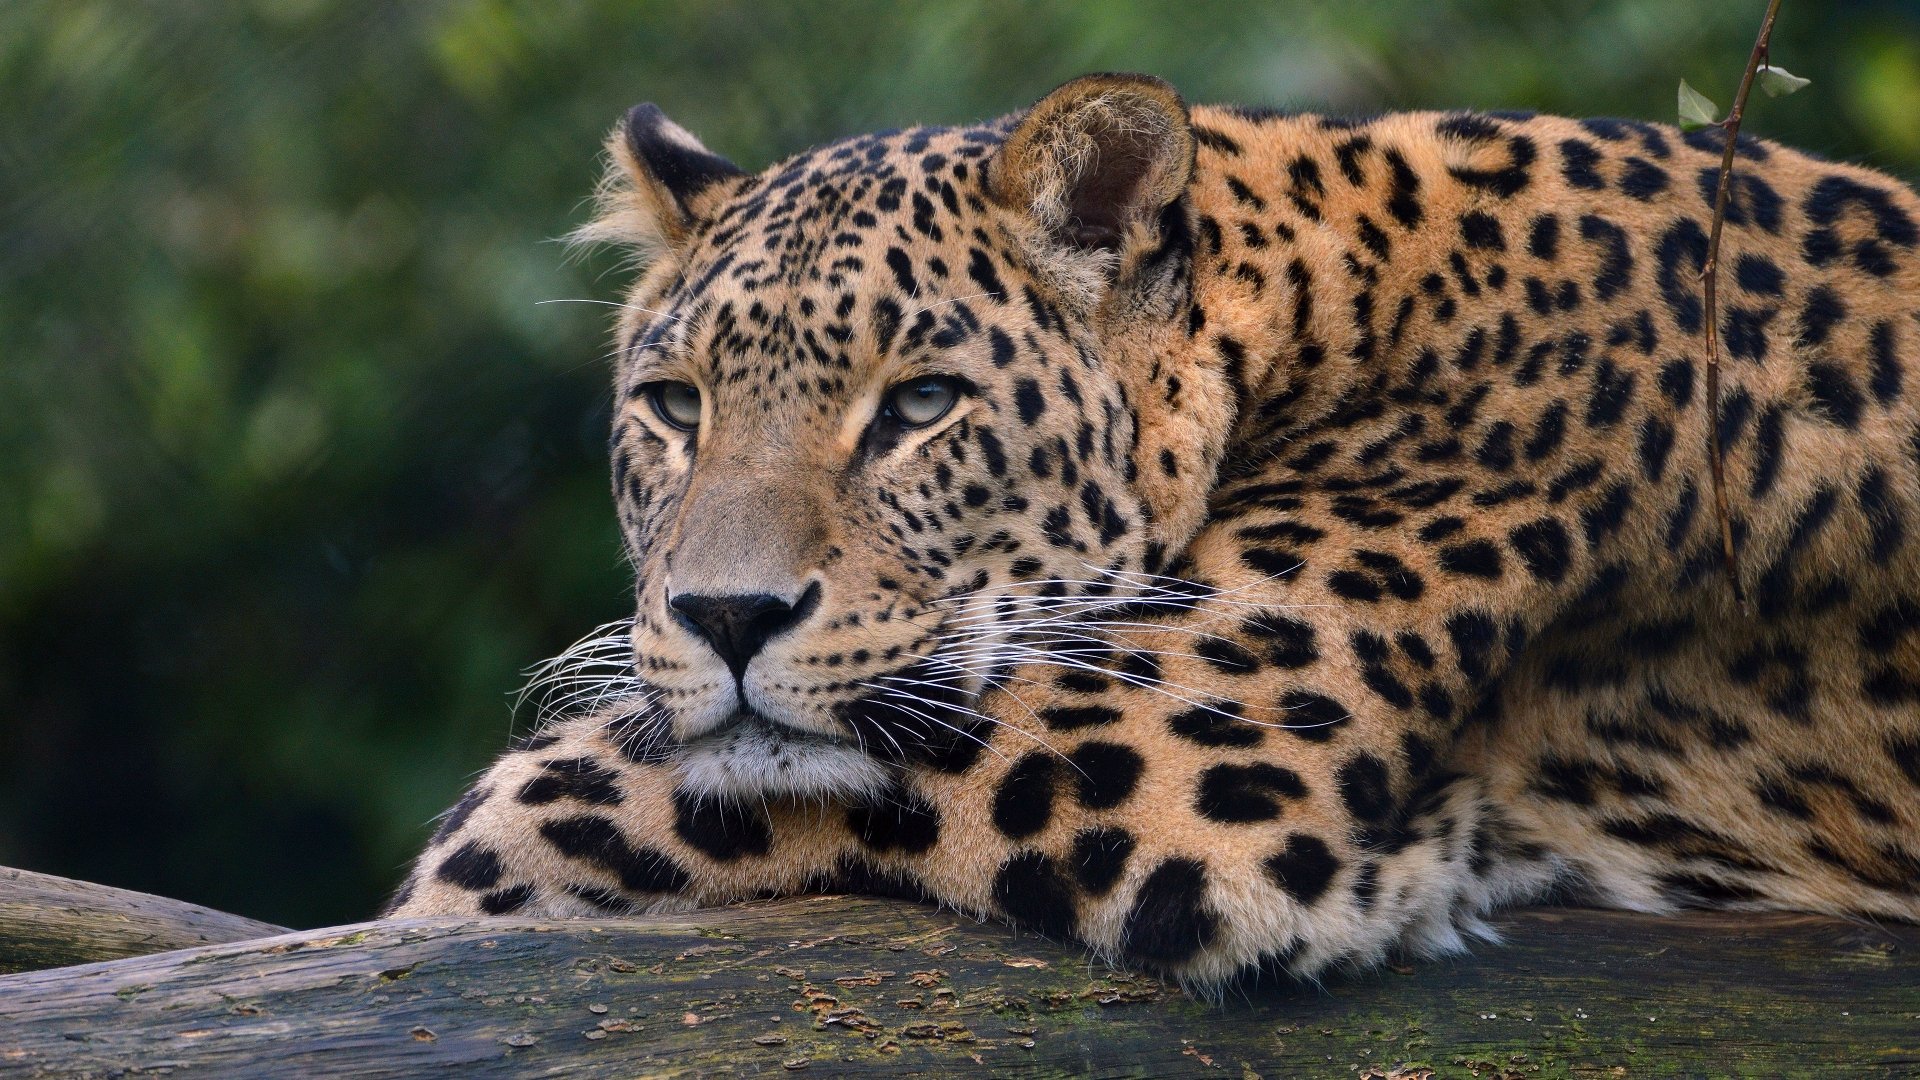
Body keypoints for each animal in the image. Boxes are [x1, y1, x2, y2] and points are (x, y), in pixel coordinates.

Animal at [386, 73, 1920, 990]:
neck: (1327, 303)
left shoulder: (1177, 756)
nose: (726, 618)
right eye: (675, 405)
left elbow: (532, 816)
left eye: (922, 404)